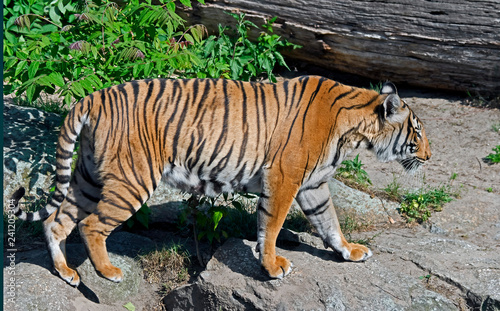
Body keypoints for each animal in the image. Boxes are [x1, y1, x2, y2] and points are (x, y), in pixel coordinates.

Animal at [11, 75, 430, 288]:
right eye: (418, 131)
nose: (428, 156)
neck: (355, 129)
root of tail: (91, 98)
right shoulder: (285, 177)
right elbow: (271, 225)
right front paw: (272, 266)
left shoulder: (313, 186)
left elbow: (329, 223)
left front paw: (348, 251)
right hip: (131, 181)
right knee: (91, 225)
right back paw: (107, 272)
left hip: (88, 178)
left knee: (57, 221)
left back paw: (66, 272)